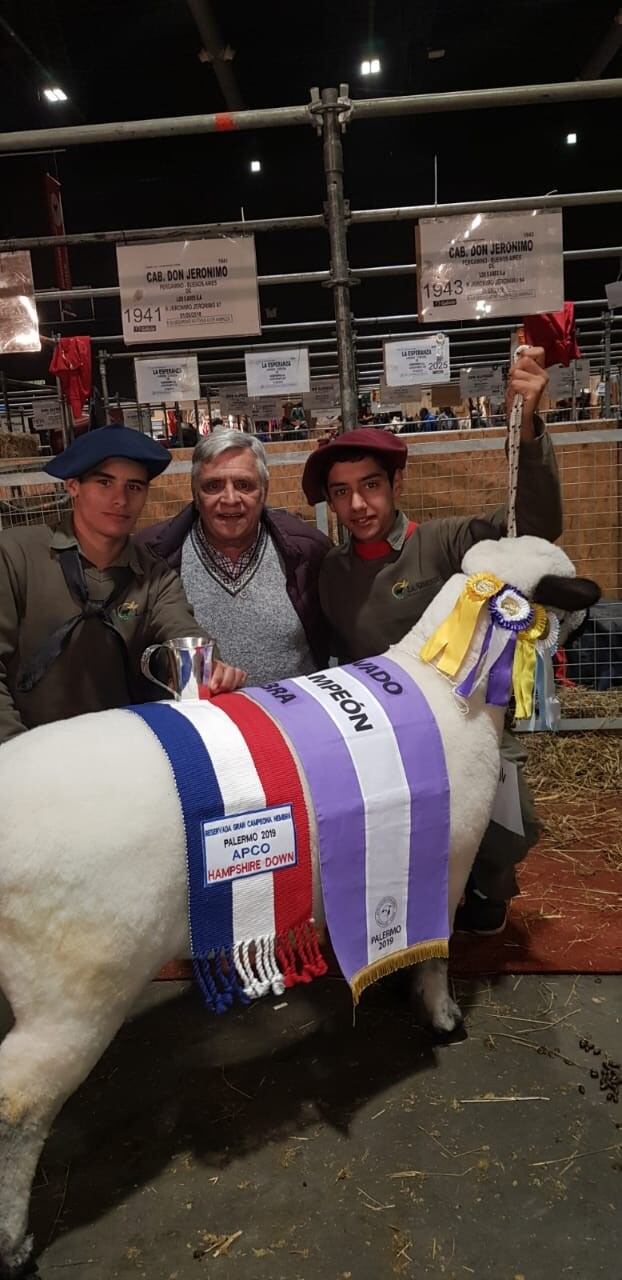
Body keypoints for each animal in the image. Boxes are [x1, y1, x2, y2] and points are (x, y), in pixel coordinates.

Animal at [0, 535, 598, 1274]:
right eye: (571, 589)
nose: (594, 625)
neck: (448, 690)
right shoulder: (445, 858)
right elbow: (437, 953)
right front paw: (442, 1018)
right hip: (76, 985)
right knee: (17, 1105)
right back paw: (14, 1243)